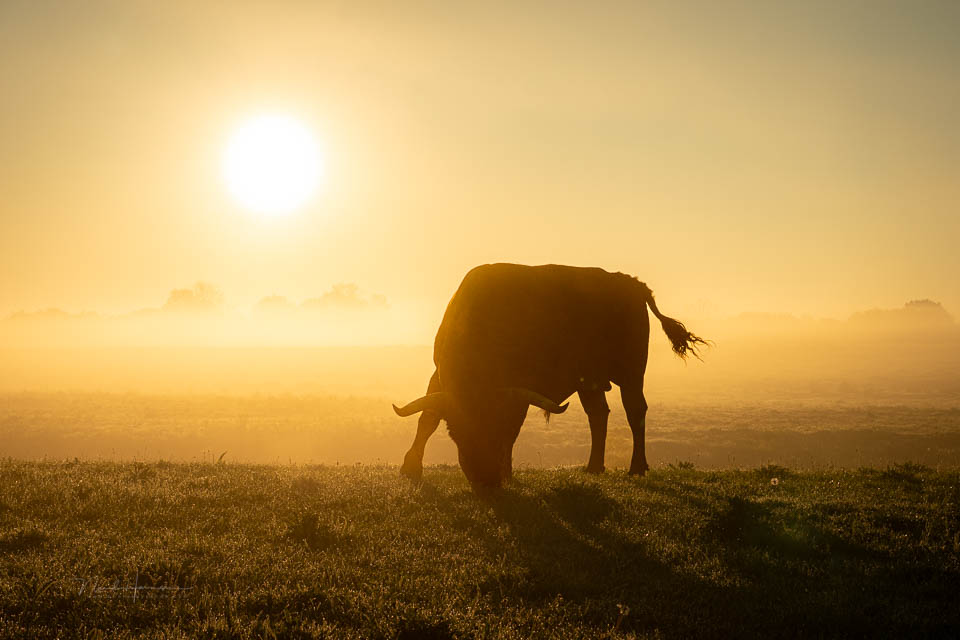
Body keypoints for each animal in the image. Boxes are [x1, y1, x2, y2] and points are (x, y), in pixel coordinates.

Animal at [393, 263, 707, 489]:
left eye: (495, 427)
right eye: (457, 429)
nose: (485, 479)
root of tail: (629, 281)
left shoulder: (517, 396)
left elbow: (512, 433)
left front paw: (506, 472)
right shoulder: (439, 376)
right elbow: (428, 419)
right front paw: (410, 467)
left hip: (631, 372)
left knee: (635, 411)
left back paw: (637, 468)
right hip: (590, 381)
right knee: (598, 414)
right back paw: (594, 467)